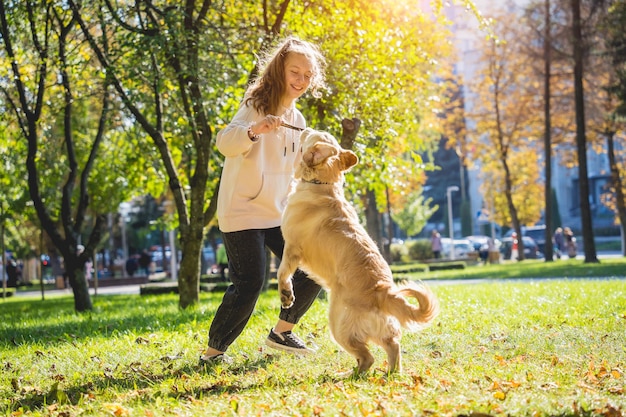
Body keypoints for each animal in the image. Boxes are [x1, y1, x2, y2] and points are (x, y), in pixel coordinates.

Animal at [278, 127, 438, 374]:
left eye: (315, 134)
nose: (305, 127)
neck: (321, 184)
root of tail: (383, 291)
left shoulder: (292, 247)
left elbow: (282, 273)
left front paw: (286, 296)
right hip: (381, 328)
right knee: (392, 345)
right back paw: (389, 373)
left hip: (338, 324)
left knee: (366, 357)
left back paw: (348, 375)